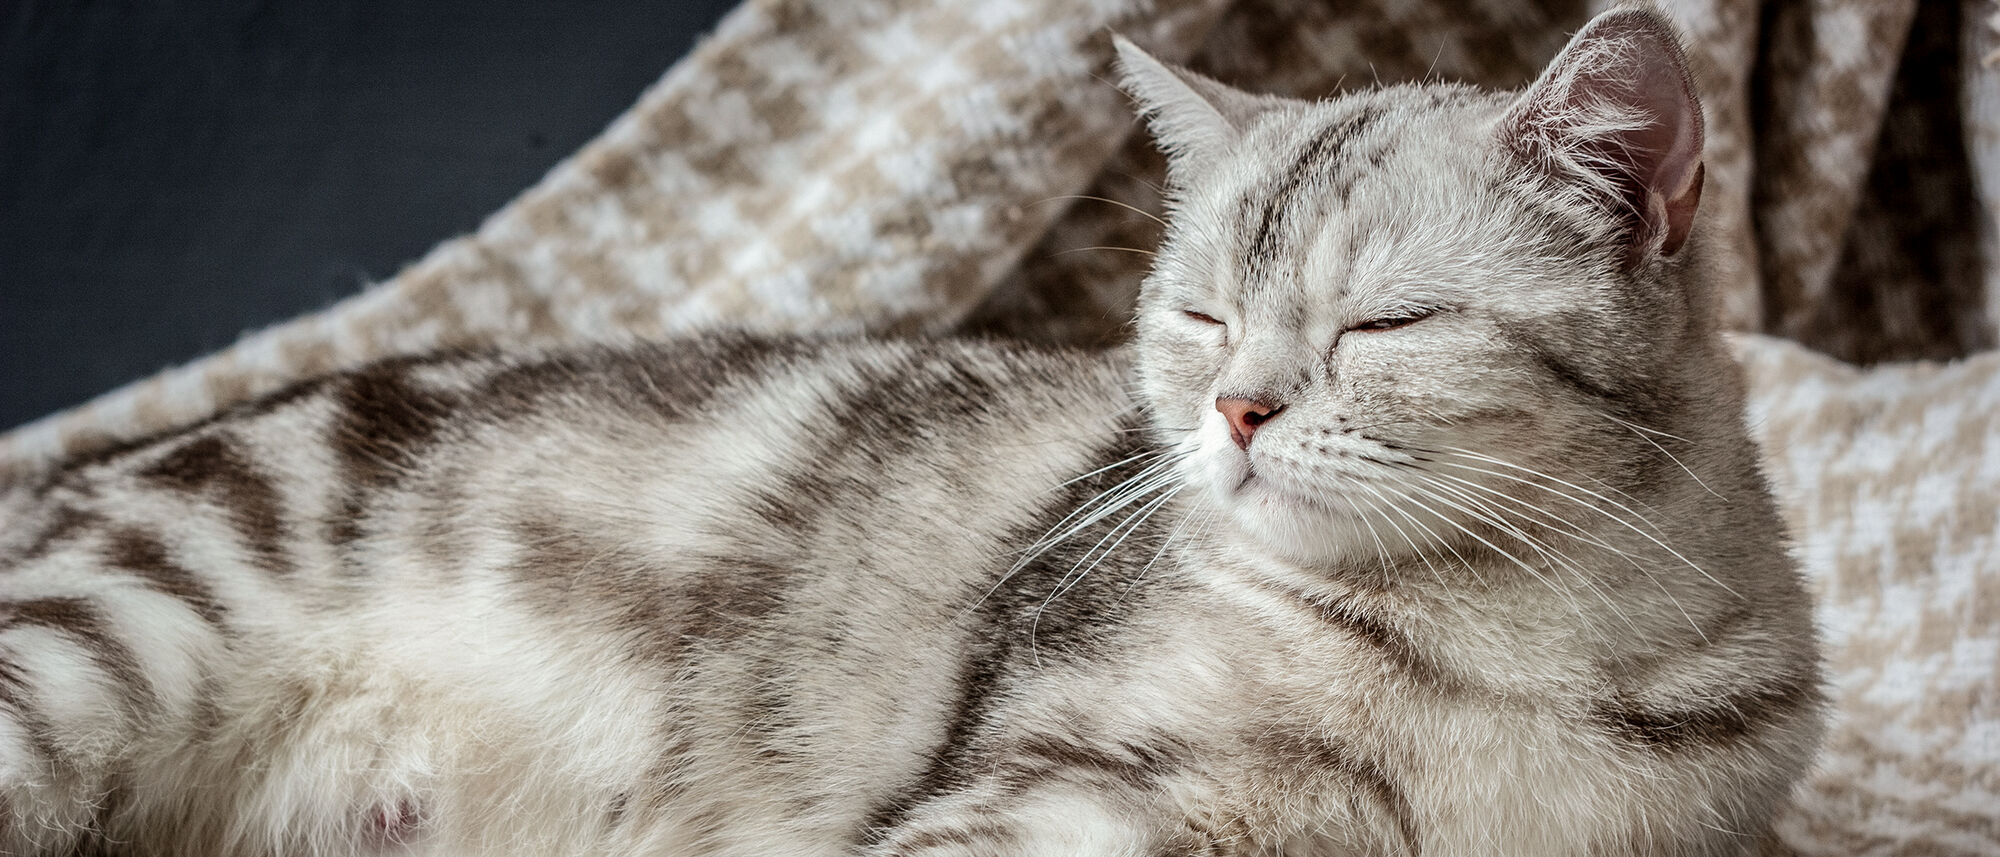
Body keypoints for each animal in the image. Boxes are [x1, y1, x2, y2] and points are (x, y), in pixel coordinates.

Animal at [0, 8, 1824, 857]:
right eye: (1202, 315)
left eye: (1383, 324)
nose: (1235, 406)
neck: (1505, 651)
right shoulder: (1037, 797)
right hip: (111, 632)